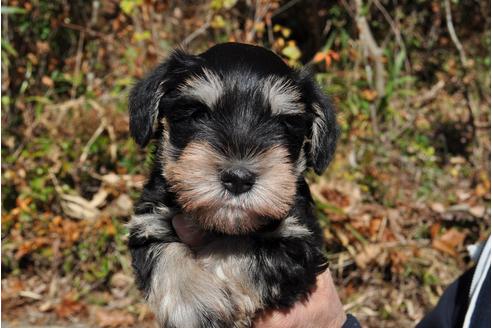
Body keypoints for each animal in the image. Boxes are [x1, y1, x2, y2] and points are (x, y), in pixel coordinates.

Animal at [127, 42, 338, 326]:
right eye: (198, 113)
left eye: (284, 122)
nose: (238, 178)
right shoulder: (147, 223)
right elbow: (164, 252)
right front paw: (193, 302)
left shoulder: (300, 242)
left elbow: (234, 247)